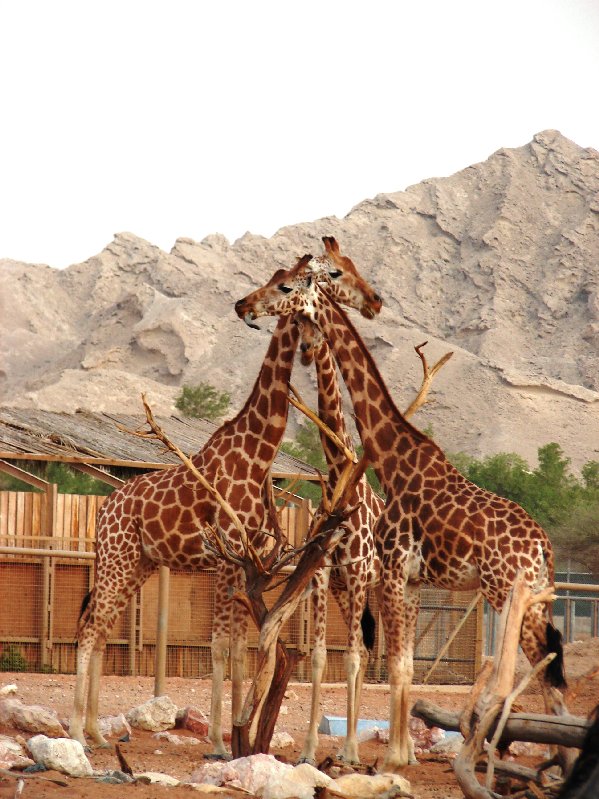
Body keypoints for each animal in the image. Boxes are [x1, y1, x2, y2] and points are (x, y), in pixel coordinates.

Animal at [235, 271, 569, 773]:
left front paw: (384, 758)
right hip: (526, 597)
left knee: (538, 670)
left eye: (286, 286)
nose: (243, 305)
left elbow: (383, 662)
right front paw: (385, 754)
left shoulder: (385, 571)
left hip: (507, 593)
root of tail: (543, 544)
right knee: (545, 671)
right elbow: (389, 662)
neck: (390, 462)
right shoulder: (389, 579)